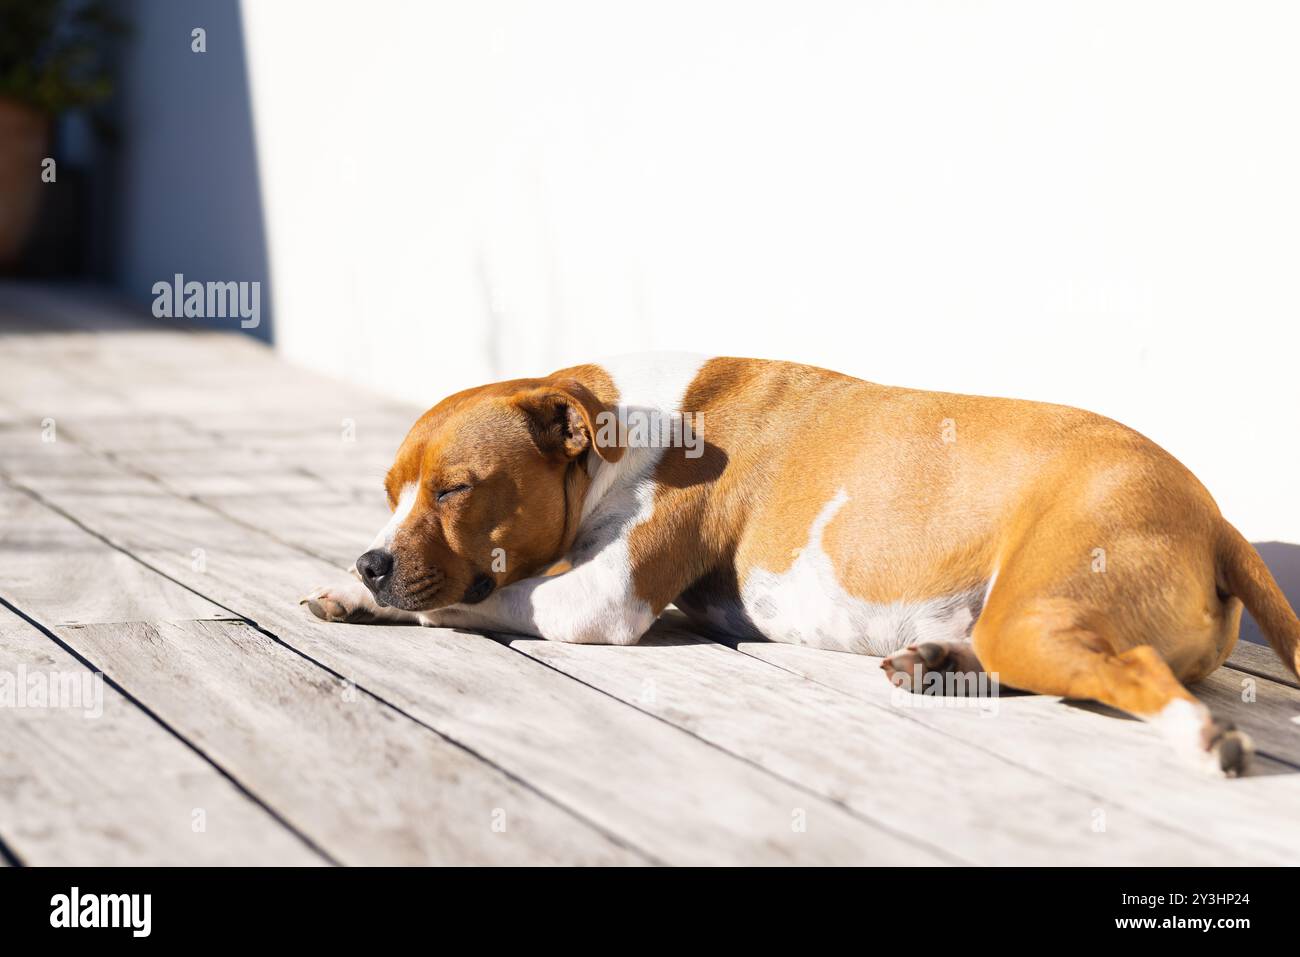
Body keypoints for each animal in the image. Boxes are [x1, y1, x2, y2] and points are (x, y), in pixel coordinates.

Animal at [301, 351, 1300, 780]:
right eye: (390, 488)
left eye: (455, 490)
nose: (374, 559)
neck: (617, 426)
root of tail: (1215, 517)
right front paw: (352, 590)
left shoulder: (599, 597)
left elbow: (482, 596)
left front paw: (392, 599)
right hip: (1018, 617)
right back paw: (937, 660)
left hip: (1040, 606)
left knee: (1133, 670)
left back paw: (1203, 736)